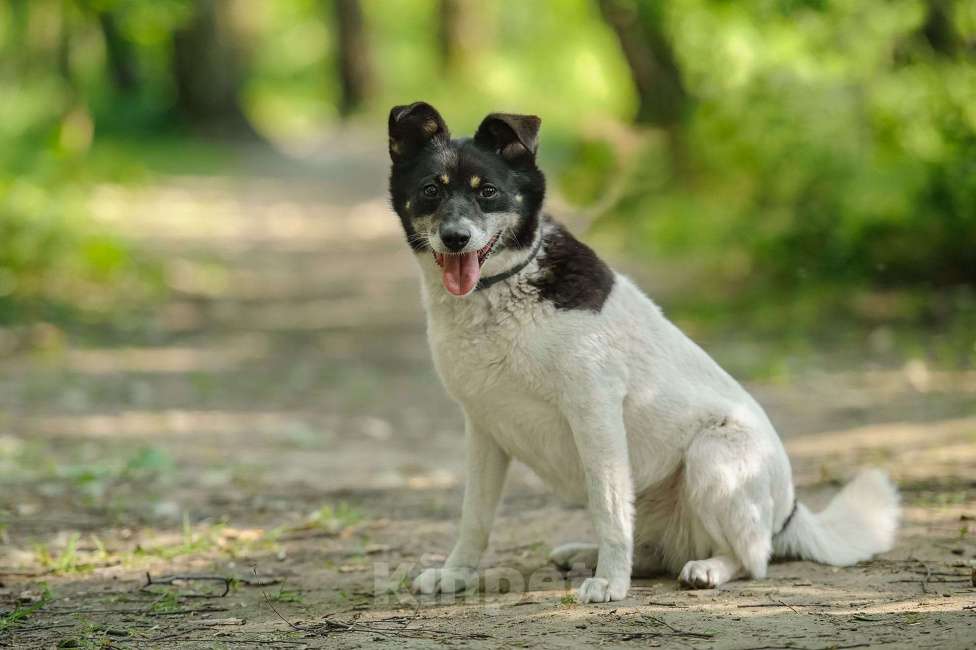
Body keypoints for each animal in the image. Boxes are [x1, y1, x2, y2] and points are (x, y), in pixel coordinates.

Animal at [386, 101, 900, 604]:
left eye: (488, 191)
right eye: (431, 190)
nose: (455, 238)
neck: (503, 289)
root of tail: (791, 511)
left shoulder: (595, 411)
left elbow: (610, 508)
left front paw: (611, 585)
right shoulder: (484, 427)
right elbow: (475, 516)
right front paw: (455, 576)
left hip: (712, 453)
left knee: (752, 560)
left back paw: (706, 569)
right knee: (655, 550)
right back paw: (586, 554)